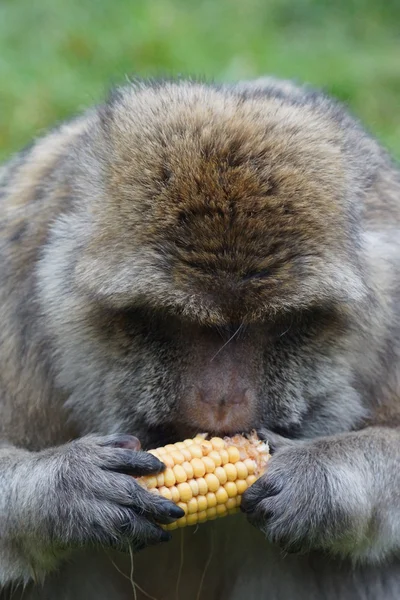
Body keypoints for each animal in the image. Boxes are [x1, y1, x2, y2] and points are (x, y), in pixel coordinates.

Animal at [0, 76, 398, 600]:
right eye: (168, 321)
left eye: (282, 325)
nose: (221, 400)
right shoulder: (14, 308)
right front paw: (65, 489)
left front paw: (319, 477)